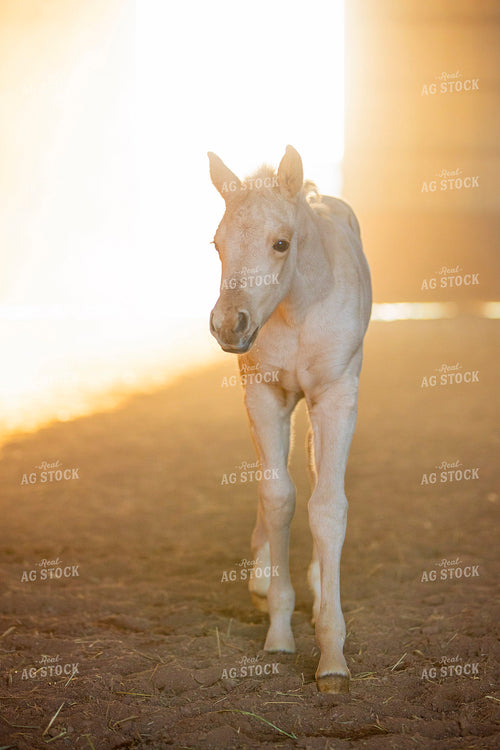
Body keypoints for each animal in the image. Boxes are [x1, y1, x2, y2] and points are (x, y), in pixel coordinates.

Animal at [208, 146, 372, 693]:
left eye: (280, 243)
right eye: (216, 244)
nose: (228, 325)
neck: (299, 307)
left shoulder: (336, 396)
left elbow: (327, 506)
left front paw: (333, 658)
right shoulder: (263, 394)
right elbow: (277, 497)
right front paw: (279, 632)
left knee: (318, 472)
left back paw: (320, 580)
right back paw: (262, 575)